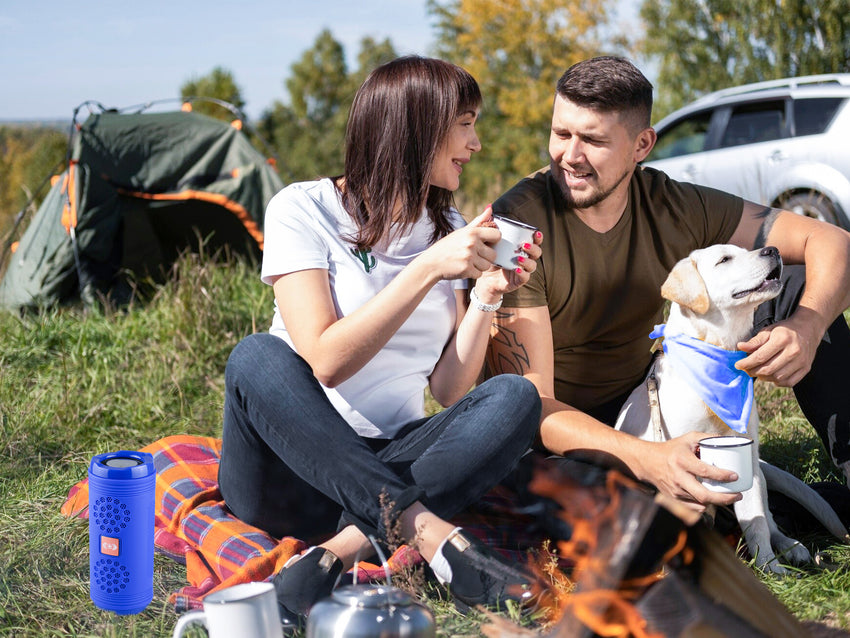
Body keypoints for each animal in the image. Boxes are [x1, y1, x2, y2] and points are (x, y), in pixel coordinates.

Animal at [612, 244, 844, 576]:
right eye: (724, 260)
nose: (772, 249)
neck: (718, 352)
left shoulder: (746, 461)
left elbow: (756, 523)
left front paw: (770, 568)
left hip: (760, 477)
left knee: (770, 521)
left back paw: (792, 548)